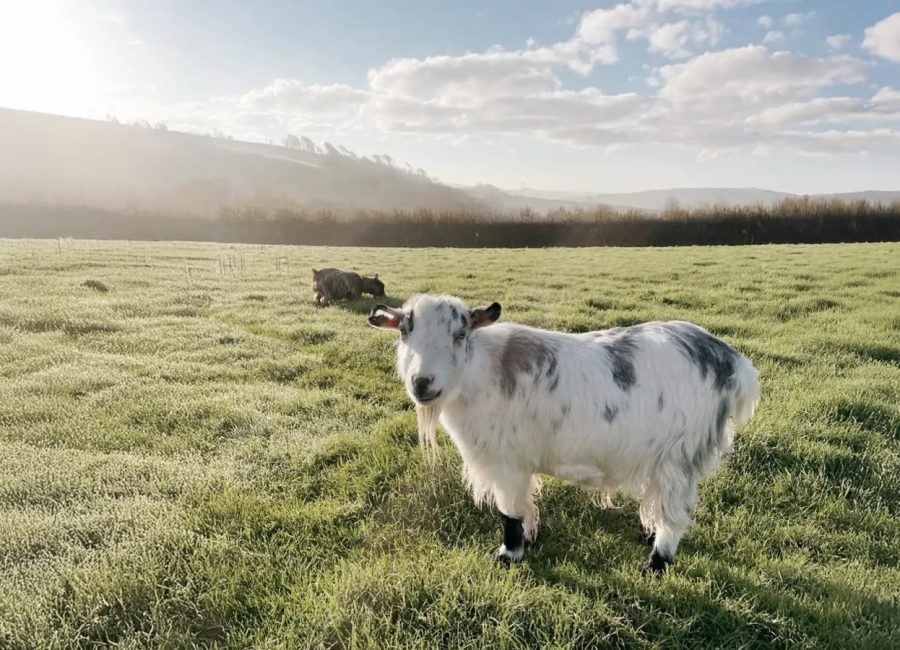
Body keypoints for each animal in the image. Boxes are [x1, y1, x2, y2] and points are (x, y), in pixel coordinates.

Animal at [368, 294, 759, 575]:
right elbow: (525, 506)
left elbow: (509, 511)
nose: (422, 382)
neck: (481, 373)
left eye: (459, 334)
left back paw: (656, 563)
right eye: (405, 331)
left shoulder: (508, 463)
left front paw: (508, 555)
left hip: (679, 458)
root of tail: (731, 360)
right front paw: (528, 539)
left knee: (674, 518)